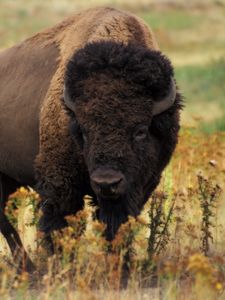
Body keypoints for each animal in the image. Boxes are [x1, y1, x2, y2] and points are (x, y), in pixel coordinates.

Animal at [0, 6, 182, 270]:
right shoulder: (60, 184)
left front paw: (120, 266)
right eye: (84, 131)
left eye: (140, 131)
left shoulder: (139, 186)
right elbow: (60, 225)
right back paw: (29, 267)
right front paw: (62, 264)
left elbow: (117, 225)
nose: (107, 182)